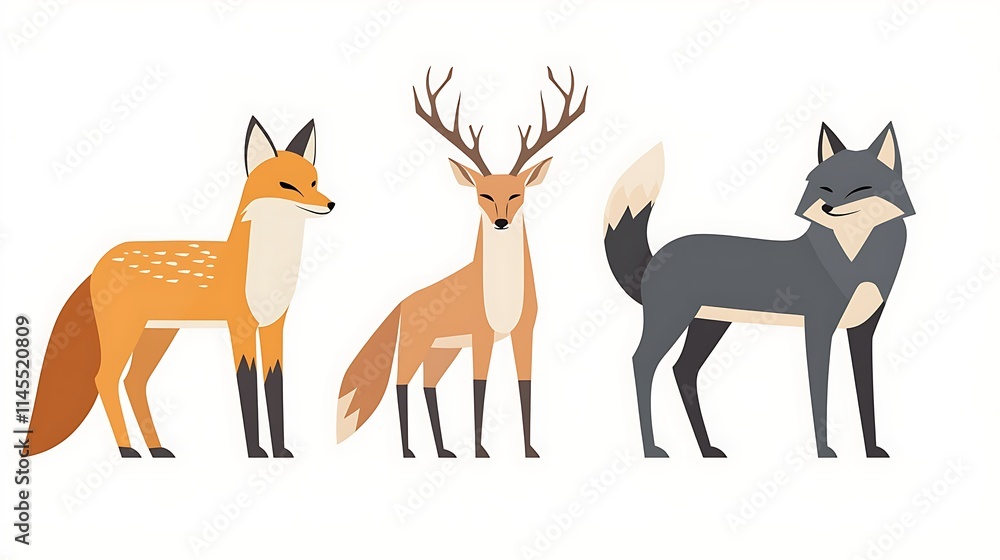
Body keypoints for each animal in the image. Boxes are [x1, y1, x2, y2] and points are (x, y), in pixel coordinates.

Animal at [28, 117, 334, 458]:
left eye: (314, 182)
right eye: (286, 186)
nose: (331, 204)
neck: (265, 270)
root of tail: (98, 263)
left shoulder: (273, 326)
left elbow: (274, 384)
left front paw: (279, 452)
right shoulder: (239, 326)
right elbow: (247, 385)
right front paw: (255, 452)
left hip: (157, 335)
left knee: (133, 381)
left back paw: (156, 448)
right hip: (124, 333)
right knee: (105, 379)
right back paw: (127, 450)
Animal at [336, 67, 587, 458]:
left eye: (517, 194)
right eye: (483, 195)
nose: (501, 221)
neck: (502, 301)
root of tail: (401, 305)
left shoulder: (524, 331)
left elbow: (525, 385)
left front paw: (529, 450)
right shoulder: (481, 334)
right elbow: (478, 386)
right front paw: (481, 451)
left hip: (443, 351)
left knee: (429, 385)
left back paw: (442, 450)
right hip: (416, 346)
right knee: (401, 384)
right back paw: (408, 451)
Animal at [604, 122, 914, 458]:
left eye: (860, 189)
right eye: (825, 188)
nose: (827, 207)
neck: (854, 262)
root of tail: (656, 256)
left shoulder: (862, 331)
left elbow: (866, 396)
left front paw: (872, 452)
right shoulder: (818, 329)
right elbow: (819, 394)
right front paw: (824, 452)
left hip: (709, 325)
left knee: (683, 370)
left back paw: (707, 449)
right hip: (671, 321)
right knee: (642, 363)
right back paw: (651, 449)